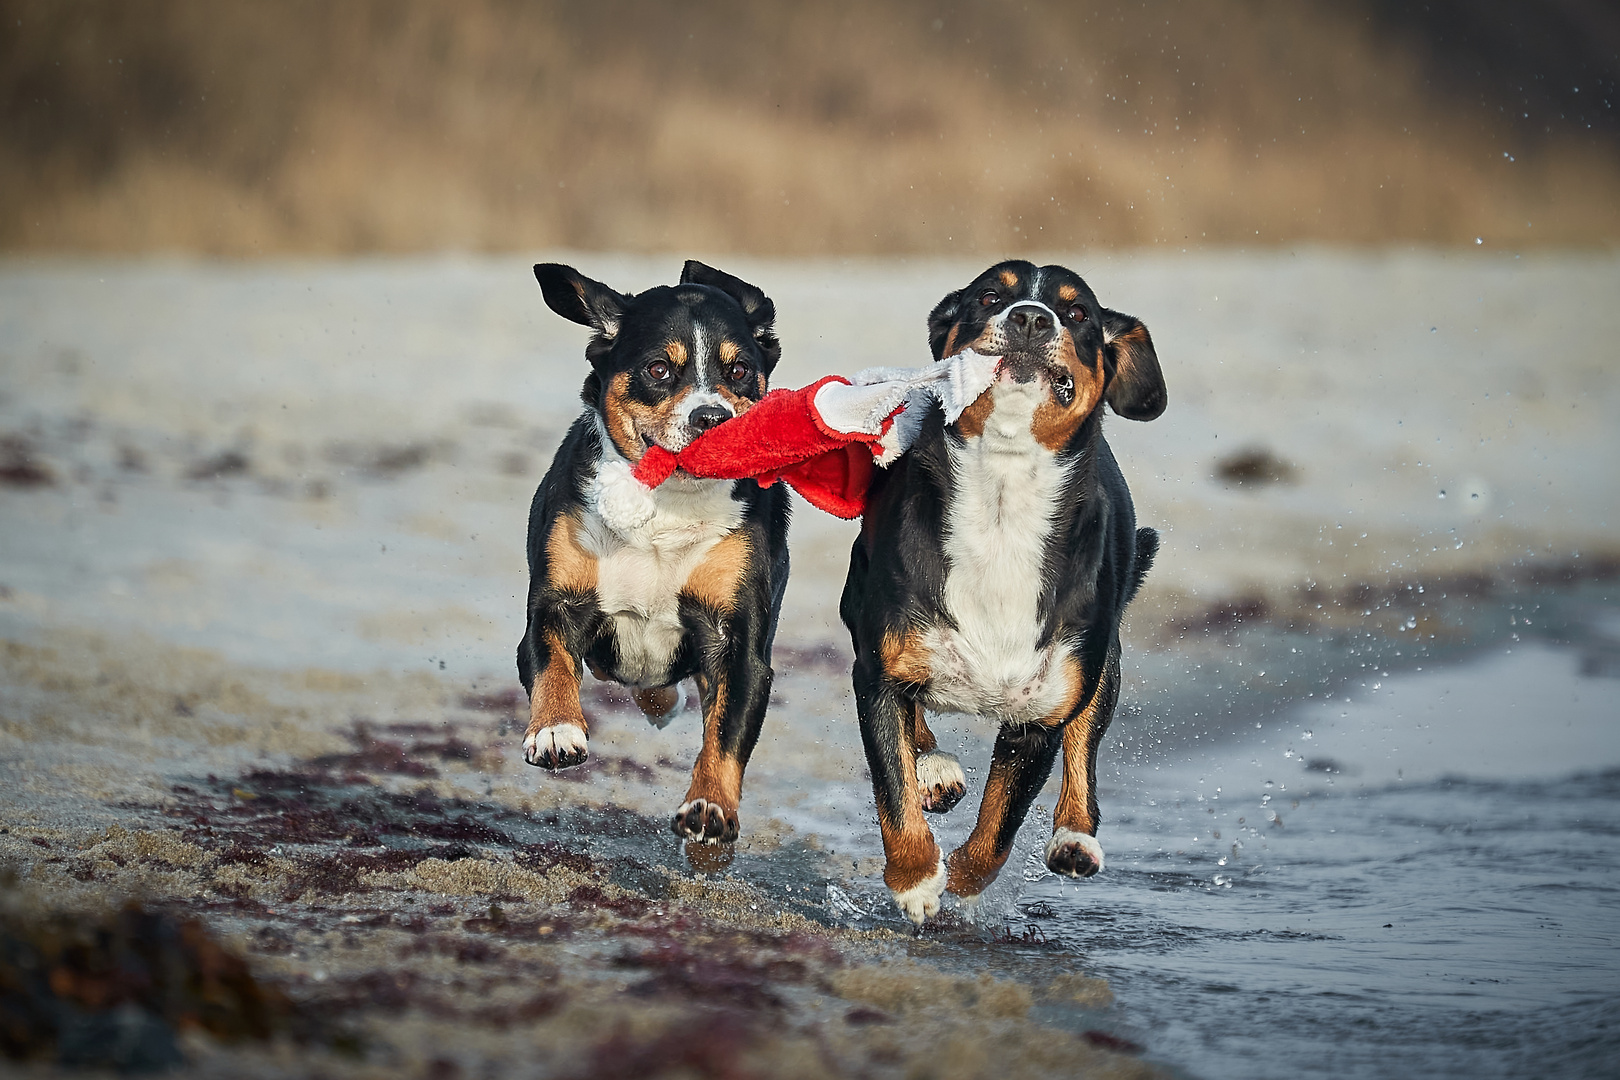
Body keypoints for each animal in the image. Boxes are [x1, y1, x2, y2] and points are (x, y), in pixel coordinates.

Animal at [518, 259, 790, 841]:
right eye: (660, 370)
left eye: (739, 371)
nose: (710, 417)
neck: (667, 507)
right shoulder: (556, 604)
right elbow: (552, 664)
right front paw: (556, 731)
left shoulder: (740, 642)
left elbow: (726, 735)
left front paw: (710, 805)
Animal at [835, 259, 1166, 919]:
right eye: (990, 296)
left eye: (1076, 311)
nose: (1031, 319)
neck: (1003, 504)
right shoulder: (878, 669)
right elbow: (893, 788)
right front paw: (916, 878)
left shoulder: (1040, 715)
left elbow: (999, 828)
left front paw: (961, 878)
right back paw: (936, 770)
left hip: (1101, 661)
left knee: (1086, 745)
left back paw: (1075, 838)